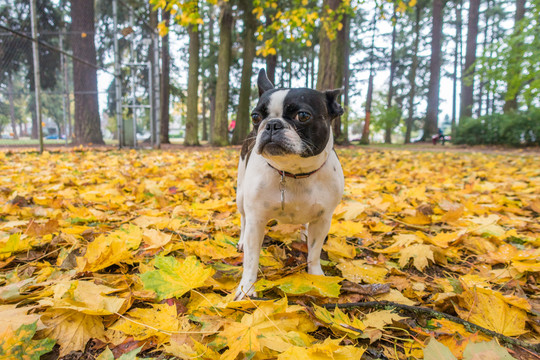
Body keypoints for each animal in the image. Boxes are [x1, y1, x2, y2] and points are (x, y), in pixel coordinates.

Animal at [233, 69, 344, 300]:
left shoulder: (323, 219)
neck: (294, 173)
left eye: (303, 116)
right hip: (241, 195)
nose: (272, 124)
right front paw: (246, 289)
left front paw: (317, 277)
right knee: (243, 219)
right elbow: (251, 259)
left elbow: (314, 252)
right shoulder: (256, 220)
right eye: (255, 117)